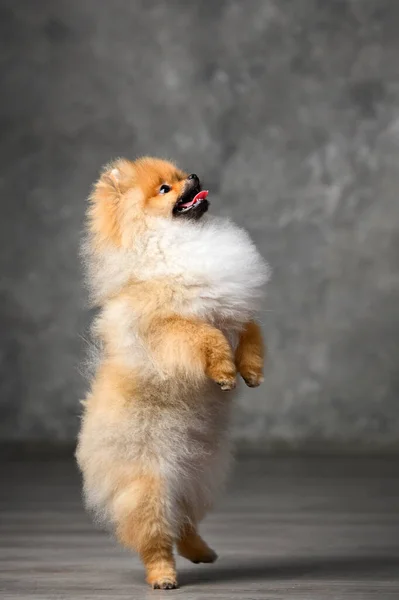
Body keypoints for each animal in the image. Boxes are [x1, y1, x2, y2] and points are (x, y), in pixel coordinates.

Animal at [76, 156, 270, 592]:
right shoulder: (169, 329)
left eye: (182, 176)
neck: (176, 243)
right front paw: (224, 372)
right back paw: (163, 576)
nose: (195, 176)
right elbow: (206, 335)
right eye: (165, 189)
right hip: (150, 486)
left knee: (184, 523)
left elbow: (250, 332)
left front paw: (251, 371)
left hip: (199, 478)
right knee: (155, 537)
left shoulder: (232, 310)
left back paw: (202, 552)